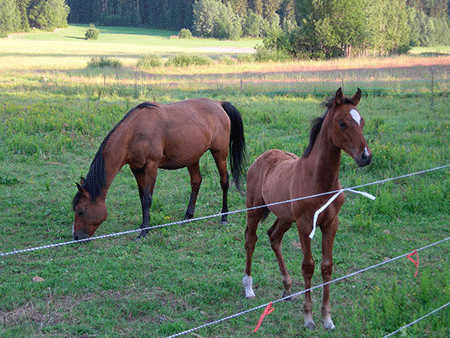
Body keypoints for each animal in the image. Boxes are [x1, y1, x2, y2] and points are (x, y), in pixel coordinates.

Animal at [72, 97, 244, 240]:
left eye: (81, 211)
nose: (76, 236)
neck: (134, 133)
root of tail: (218, 103)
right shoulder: (136, 168)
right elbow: (142, 196)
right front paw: (143, 224)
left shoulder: (151, 166)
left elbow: (147, 198)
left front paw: (144, 232)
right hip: (193, 157)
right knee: (196, 182)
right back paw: (188, 216)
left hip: (219, 153)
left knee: (224, 181)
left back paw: (224, 216)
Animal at [243, 88, 372, 330]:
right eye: (342, 123)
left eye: (362, 122)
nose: (366, 157)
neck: (319, 181)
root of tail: (262, 157)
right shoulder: (305, 225)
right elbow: (308, 266)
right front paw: (309, 318)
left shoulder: (331, 223)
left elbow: (327, 267)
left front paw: (327, 318)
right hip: (254, 209)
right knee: (250, 240)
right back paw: (248, 288)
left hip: (285, 217)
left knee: (273, 237)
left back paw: (286, 288)